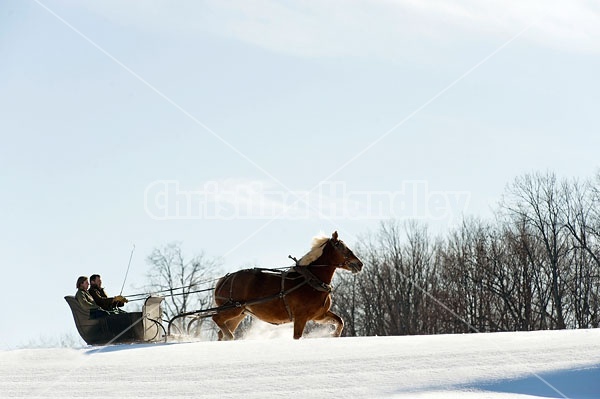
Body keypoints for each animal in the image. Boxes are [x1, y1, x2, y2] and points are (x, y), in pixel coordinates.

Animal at [213, 231, 364, 340]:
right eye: (342, 248)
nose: (360, 264)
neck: (310, 280)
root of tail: (223, 280)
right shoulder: (301, 317)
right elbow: (297, 336)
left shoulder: (319, 315)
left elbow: (340, 321)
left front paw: (334, 335)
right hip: (233, 309)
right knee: (217, 319)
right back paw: (229, 335)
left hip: (240, 313)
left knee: (221, 331)